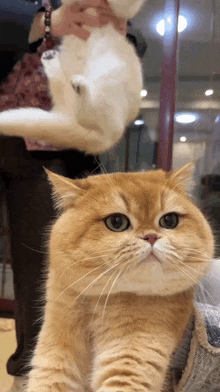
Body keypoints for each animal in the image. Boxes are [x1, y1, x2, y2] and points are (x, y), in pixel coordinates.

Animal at [0, 0, 144, 154]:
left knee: (86, 110)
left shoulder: (122, 11)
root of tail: (108, 140)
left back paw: (76, 83)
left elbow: (126, 5)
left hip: (109, 72)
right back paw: (51, 61)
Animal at [25, 162, 213, 392]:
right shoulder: (54, 362)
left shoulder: (130, 364)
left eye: (169, 220)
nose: (151, 236)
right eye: (117, 222)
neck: (99, 304)